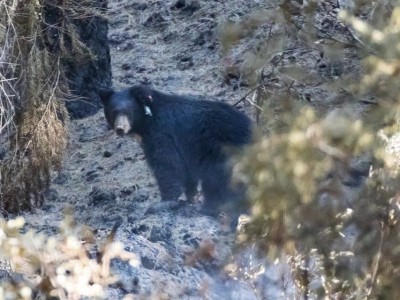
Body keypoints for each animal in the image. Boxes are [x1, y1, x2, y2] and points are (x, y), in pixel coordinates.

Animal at [98, 85, 252, 219]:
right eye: (113, 112)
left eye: (128, 112)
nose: (120, 129)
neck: (147, 119)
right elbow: (187, 172)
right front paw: (191, 198)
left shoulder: (162, 133)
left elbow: (168, 166)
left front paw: (161, 203)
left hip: (222, 152)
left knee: (216, 181)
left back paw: (209, 208)